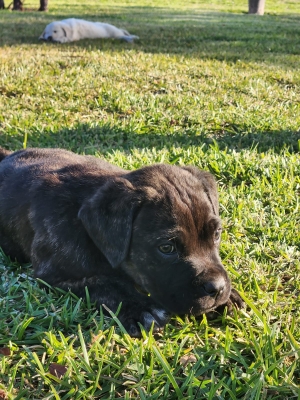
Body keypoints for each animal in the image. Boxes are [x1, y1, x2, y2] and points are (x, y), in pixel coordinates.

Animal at [0, 147, 244, 334]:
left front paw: (230, 297)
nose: (217, 288)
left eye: (217, 234)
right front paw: (140, 307)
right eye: (166, 248)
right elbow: (104, 283)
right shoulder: (54, 277)